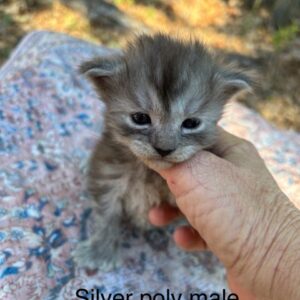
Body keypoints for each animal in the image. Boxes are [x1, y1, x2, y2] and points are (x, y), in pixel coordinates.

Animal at [74, 32, 252, 270]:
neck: (148, 173)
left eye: (191, 123)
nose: (164, 149)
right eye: (140, 118)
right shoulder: (107, 174)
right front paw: (99, 251)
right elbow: (107, 215)